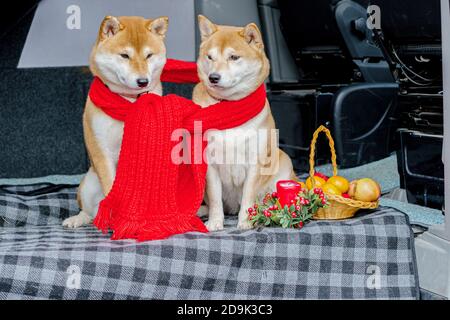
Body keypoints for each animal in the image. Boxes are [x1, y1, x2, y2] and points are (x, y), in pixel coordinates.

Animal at [62, 15, 169, 228]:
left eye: (149, 55)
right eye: (124, 56)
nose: (143, 81)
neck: (128, 101)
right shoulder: (101, 148)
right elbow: (111, 186)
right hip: (88, 184)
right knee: (90, 211)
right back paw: (80, 219)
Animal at [192, 15, 296, 230]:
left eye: (233, 57)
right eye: (210, 57)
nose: (213, 77)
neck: (230, 107)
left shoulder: (255, 162)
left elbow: (248, 196)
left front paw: (246, 222)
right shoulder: (210, 165)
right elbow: (215, 199)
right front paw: (215, 223)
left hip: (282, 163)